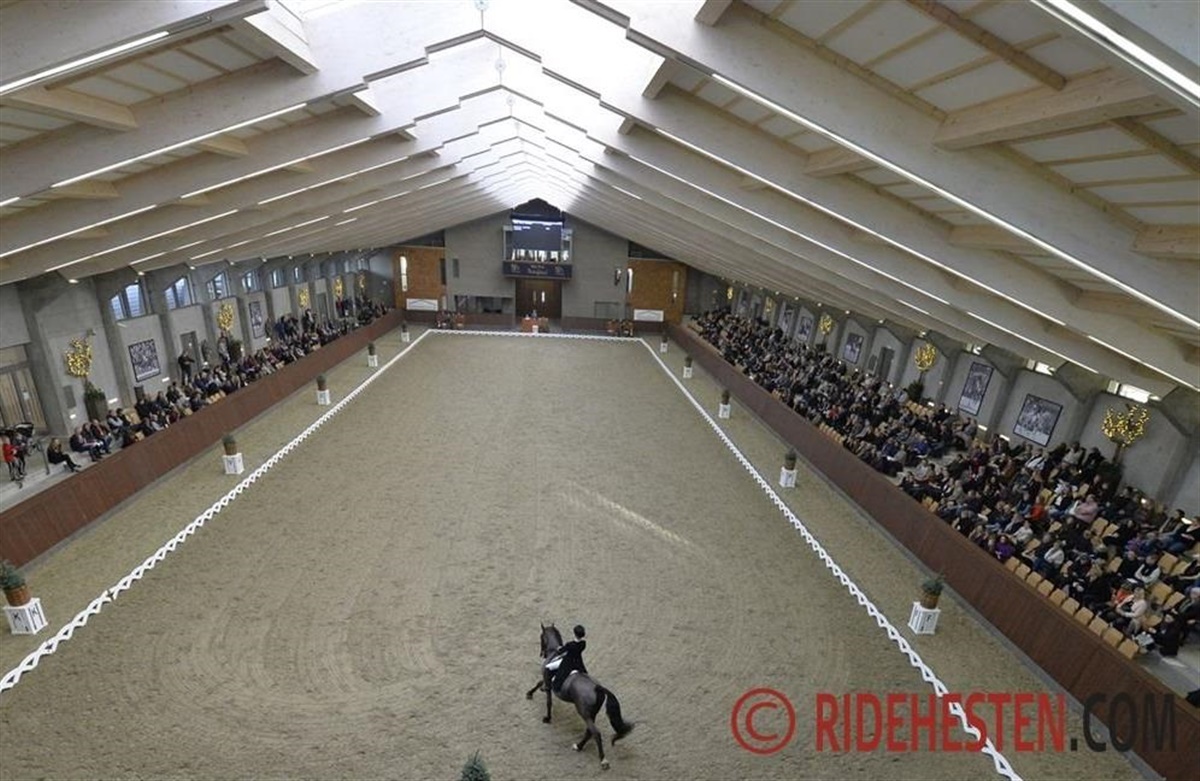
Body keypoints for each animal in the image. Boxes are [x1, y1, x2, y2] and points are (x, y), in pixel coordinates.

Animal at [525, 623, 634, 769]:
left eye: (541, 637)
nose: (542, 653)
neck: (555, 652)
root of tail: (598, 688)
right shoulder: (548, 678)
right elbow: (539, 683)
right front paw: (530, 693)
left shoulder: (547, 677)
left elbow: (548, 700)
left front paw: (547, 718)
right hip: (591, 713)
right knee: (589, 732)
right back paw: (579, 746)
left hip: (584, 712)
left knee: (595, 733)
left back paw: (602, 760)